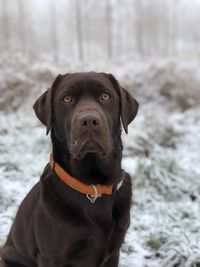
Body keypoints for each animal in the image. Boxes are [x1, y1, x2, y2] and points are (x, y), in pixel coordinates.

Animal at [0, 72, 138, 266]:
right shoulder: (51, 257)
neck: (92, 185)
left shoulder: (114, 252)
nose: (89, 120)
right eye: (67, 99)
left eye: (106, 96)